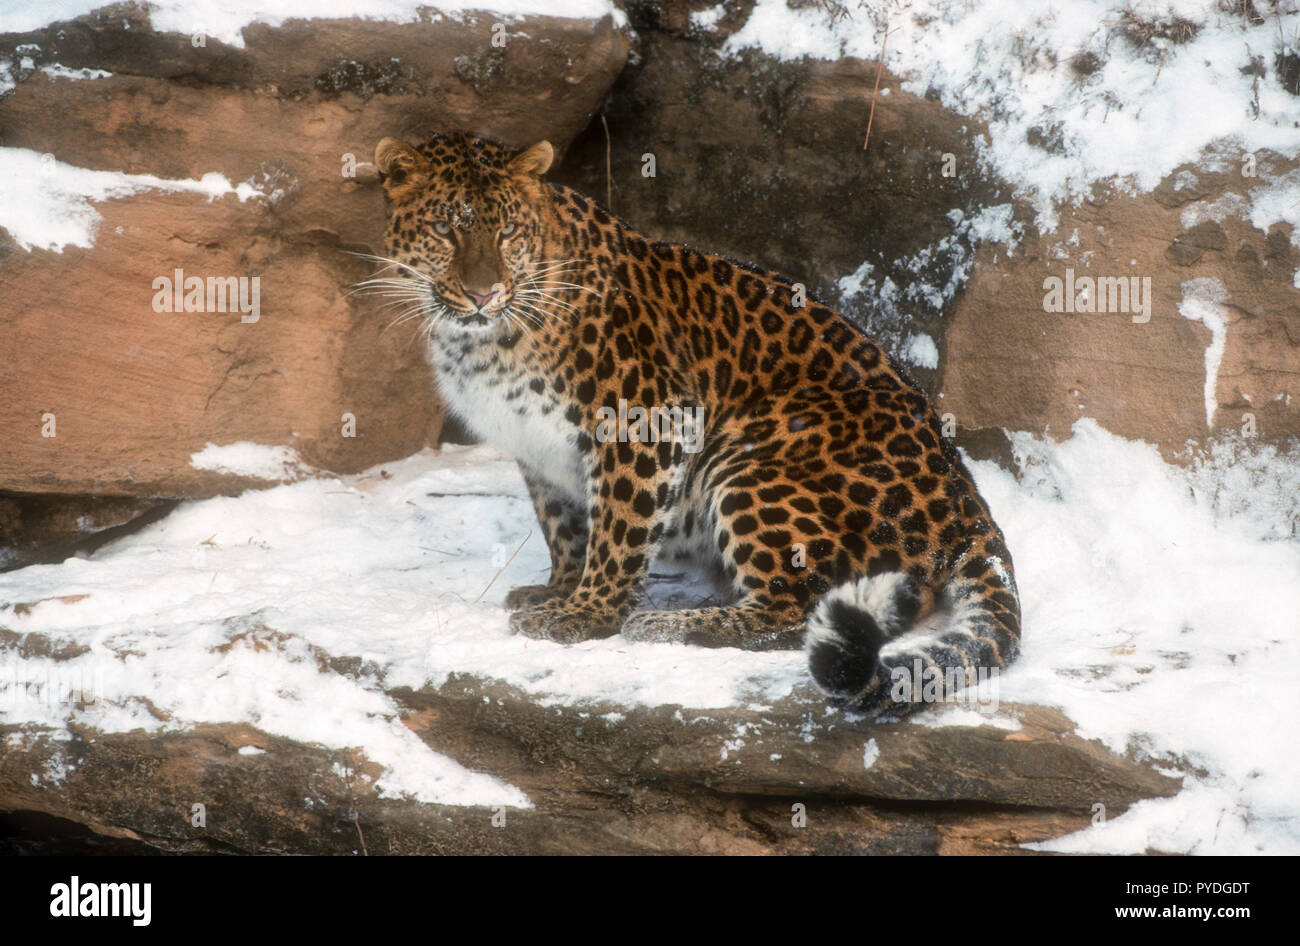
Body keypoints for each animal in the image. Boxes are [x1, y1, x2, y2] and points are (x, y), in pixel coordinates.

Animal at [368, 131, 1021, 716]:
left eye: (506, 232)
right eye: (445, 229)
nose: (483, 293)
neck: (477, 341)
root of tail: (967, 502)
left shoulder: (643, 418)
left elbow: (618, 531)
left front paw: (585, 615)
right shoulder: (537, 450)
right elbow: (564, 525)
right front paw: (558, 588)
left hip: (750, 461)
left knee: (797, 608)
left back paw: (670, 624)